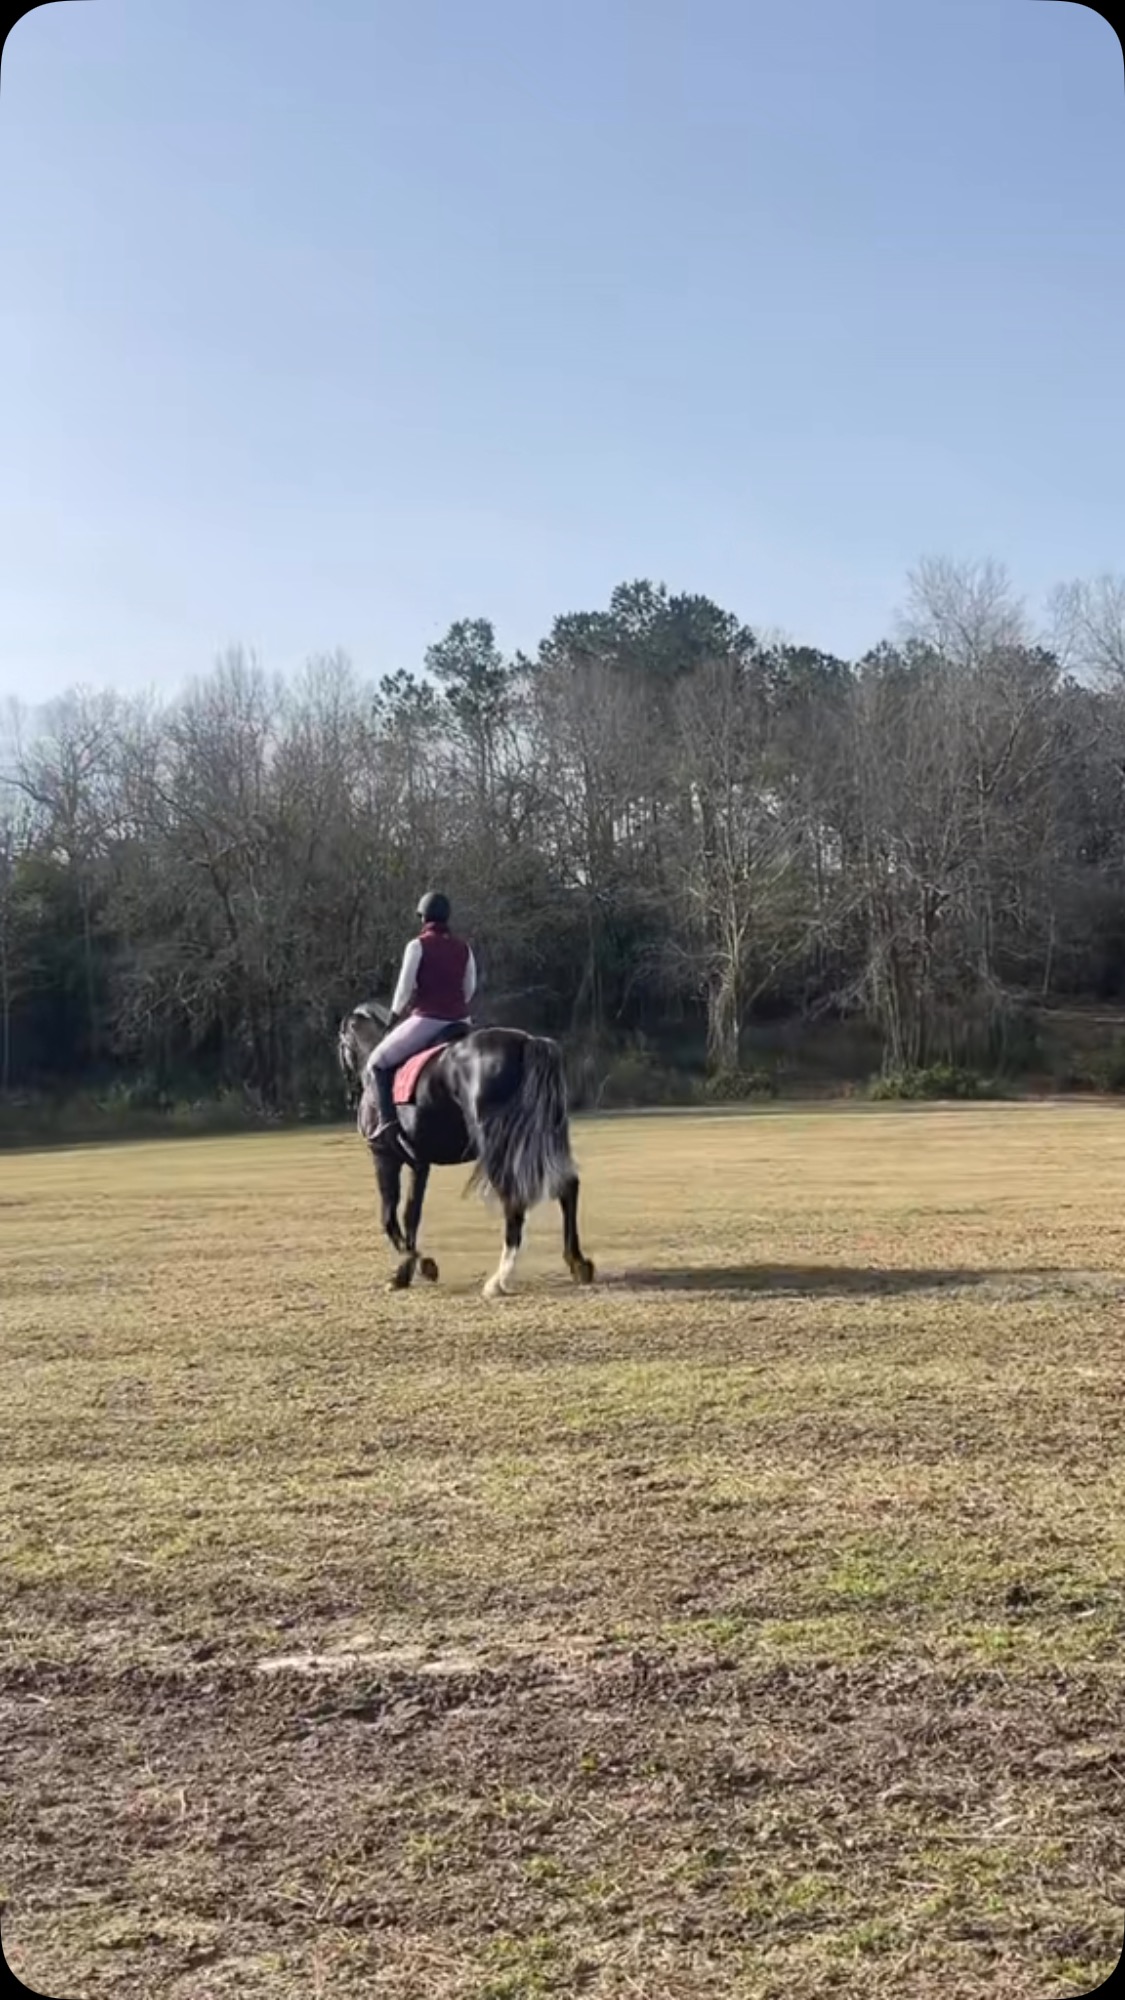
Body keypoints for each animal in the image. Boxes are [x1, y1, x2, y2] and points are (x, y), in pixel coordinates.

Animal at [337, 999, 596, 1299]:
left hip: (499, 1147)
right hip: (545, 1139)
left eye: (341, 1045)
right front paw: (413, 1269)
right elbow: (412, 1214)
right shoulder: (419, 1164)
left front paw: (409, 1269)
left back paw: (499, 1280)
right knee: (568, 1187)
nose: (349, 1096)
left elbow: (388, 1217)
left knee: (514, 1202)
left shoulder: (383, 1157)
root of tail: (529, 1042)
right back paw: (578, 1263)